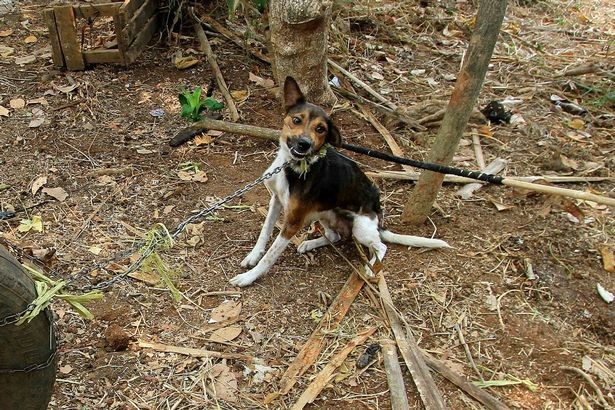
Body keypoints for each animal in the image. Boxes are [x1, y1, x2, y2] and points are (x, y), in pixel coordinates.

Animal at [229, 77, 450, 288]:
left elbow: (270, 255)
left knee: (380, 245)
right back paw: (308, 244)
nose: (304, 144)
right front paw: (252, 256)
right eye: (296, 120)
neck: (292, 166)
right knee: (335, 236)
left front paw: (249, 277)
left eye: (320, 129)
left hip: (361, 228)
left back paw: (370, 268)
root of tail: (379, 222)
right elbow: (265, 231)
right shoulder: (276, 199)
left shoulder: (293, 221)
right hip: (323, 214)